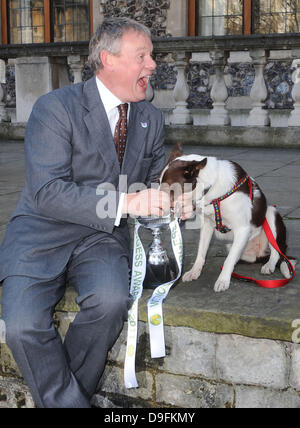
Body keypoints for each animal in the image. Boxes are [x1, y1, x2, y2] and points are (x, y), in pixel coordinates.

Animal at [161, 145, 296, 292]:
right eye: (157, 181)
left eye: (168, 187)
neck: (211, 187)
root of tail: (259, 254)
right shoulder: (207, 225)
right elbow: (201, 253)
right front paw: (194, 272)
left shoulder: (242, 229)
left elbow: (228, 260)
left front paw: (223, 280)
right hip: (235, 246)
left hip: (271, 213)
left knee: (276, 253)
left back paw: (269, 265)